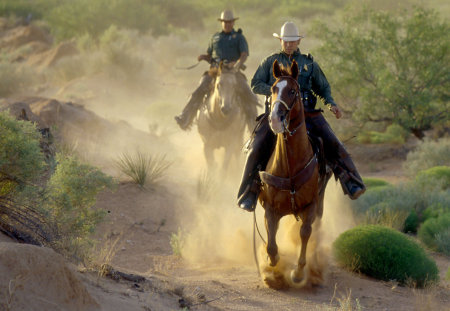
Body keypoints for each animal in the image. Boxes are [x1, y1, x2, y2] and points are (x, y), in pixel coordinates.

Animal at [258, 59, 332, 288]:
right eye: (273, 89)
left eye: (293, 90)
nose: (275, 118)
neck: (290, 165)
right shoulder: (270, 208)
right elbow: (271, 243)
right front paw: (272, 265)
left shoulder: (311, 205)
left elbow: (305, 233)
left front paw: (298, 273)